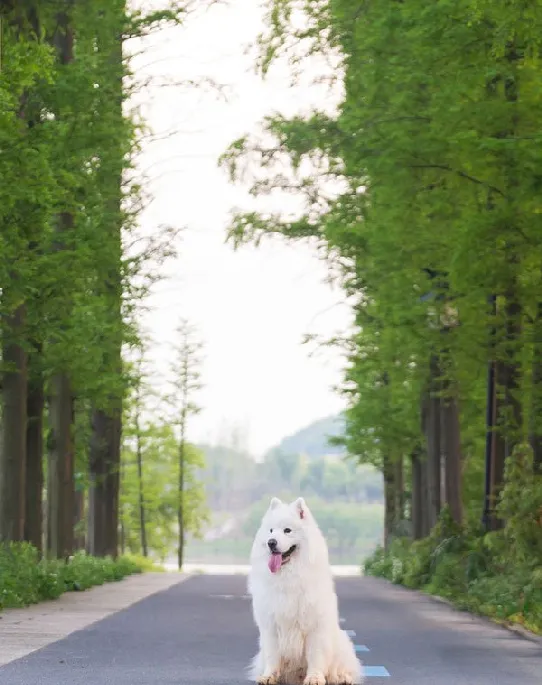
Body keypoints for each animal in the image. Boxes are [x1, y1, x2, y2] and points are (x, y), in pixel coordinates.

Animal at [250, 496, 366, 684]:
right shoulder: (271, 626)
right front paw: (269, 676)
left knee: (339, 669)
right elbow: (272, 655)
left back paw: (342, 677)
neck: (288, 577)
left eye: (287, 530)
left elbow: (316, 655)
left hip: (341, 643)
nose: (271, 542)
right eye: (271, 531)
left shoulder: (315, 626)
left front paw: (314, 678)